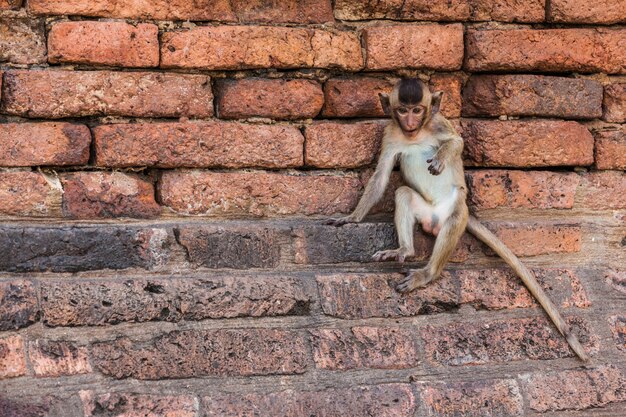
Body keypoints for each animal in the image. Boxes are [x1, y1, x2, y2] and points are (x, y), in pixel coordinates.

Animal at [324, 78, 588, 360]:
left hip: (456, 210)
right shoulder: (391, 133)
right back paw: (404, 249)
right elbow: (381, 176)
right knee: (403, 193)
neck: (414, 135)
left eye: (417, 110)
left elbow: (457, 141)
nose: (410, 122)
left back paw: (427, 273)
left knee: (453, 220)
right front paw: (351, 218)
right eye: (402, 110)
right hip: (423, 209)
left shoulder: (439, 123)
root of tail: (433, 217)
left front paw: (441, 158)